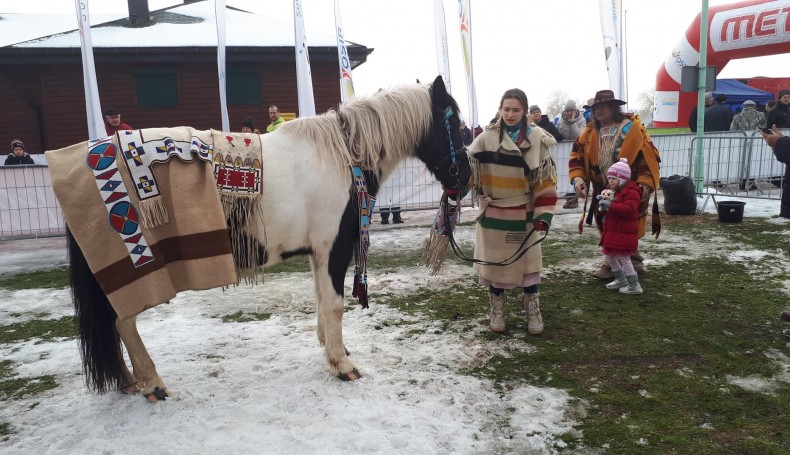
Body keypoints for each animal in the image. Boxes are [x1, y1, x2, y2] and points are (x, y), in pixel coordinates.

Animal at [57, 75, 470, 402]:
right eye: (455, 125)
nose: (464, 180)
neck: (341, 156)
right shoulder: (333, 248)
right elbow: (335, 304)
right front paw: (342, 364)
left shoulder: (318, 253)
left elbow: (321, 301)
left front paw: (331, 349)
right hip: (139, 272)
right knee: (123, 323)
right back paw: (152, 384)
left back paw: (131, 380)